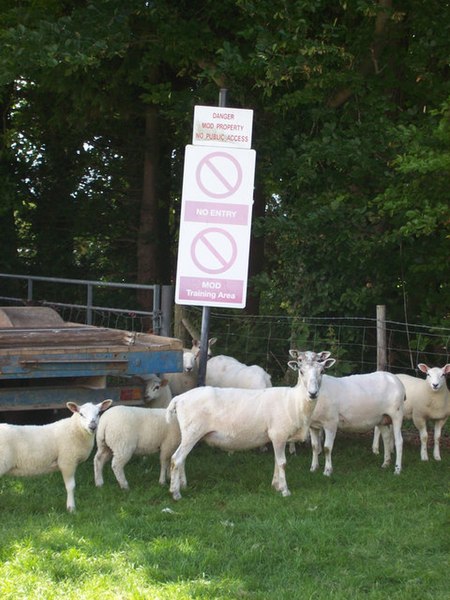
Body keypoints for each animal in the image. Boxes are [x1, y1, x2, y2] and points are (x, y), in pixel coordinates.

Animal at [165, 352, 334, 502]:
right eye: (301, 371)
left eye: (322, 371)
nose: (313, 393)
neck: (294, 401)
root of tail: (179, 398)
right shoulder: (278, 434)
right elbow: (282, 463)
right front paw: (285, 491)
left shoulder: (277, 438)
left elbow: (276, 462)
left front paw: (275, 485)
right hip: (192, 432)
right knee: (176, 459)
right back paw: (175, 493)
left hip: (188, 434)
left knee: (182, 459)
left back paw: (182, 485)